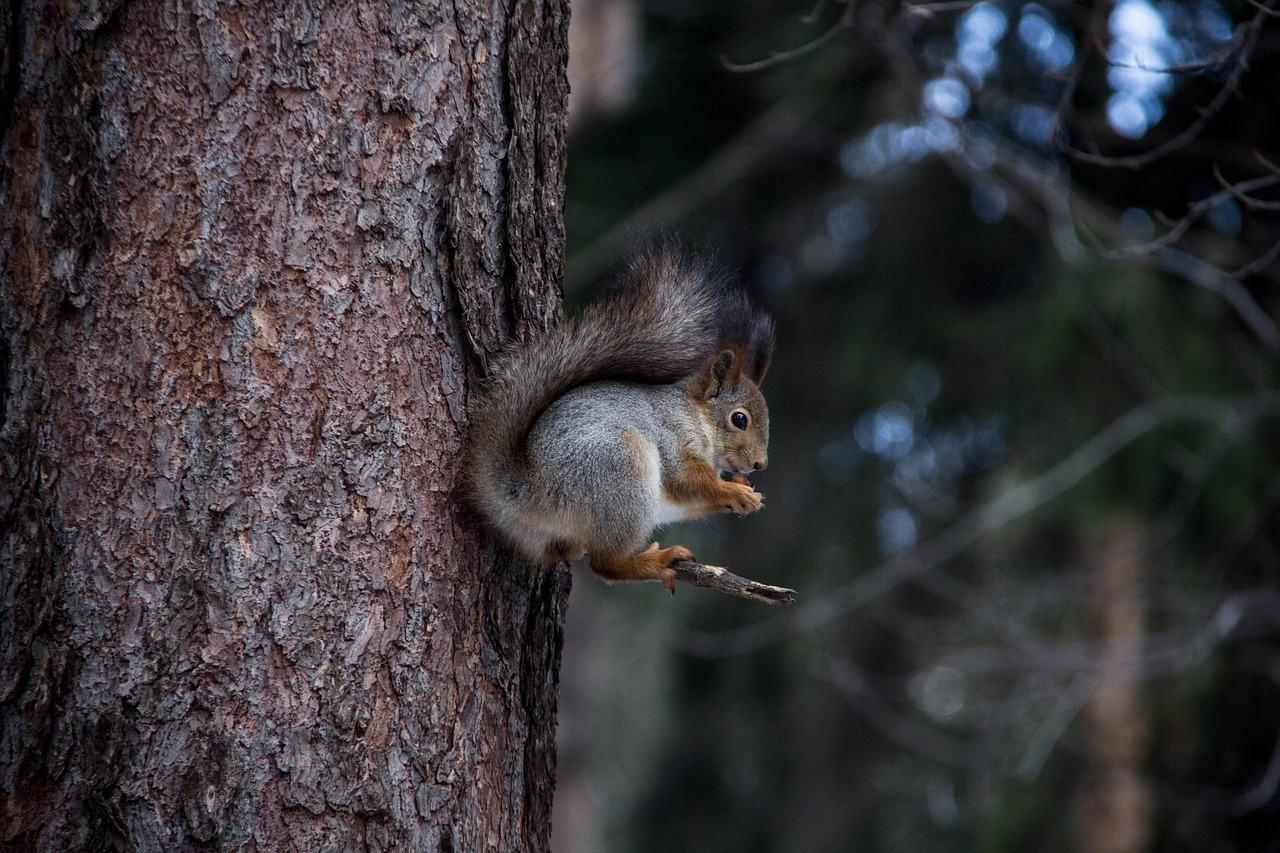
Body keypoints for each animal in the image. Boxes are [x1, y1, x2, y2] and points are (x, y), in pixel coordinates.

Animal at [465, 244, 773, 591]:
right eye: (740, 419)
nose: (760, 464)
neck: (694, 415)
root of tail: (528, 491)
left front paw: (743, 492)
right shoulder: (671, 435)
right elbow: (687, 480)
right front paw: (733, 491)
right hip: (621, 469)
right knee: (605, 565)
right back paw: (656, 562)